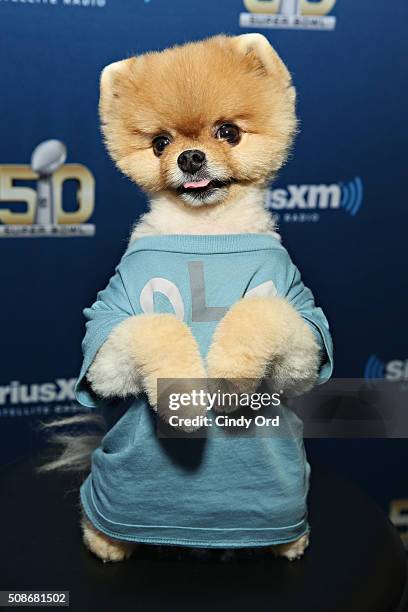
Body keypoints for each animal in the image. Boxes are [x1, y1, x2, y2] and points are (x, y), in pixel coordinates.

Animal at [43, 33, 332, 564]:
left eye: (227, 132)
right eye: (160, 143)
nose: (190, 158)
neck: (206, 230)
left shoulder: (302, 331)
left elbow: (264, 311)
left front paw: (232, 373)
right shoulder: (107, 334)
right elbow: (154, 326)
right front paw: (183, 400)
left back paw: (290, 541)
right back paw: (105, 538)